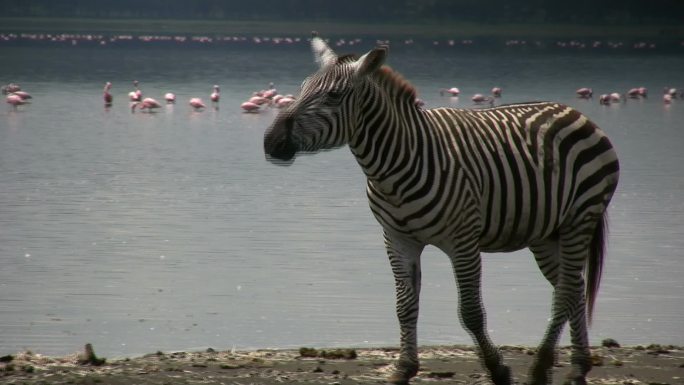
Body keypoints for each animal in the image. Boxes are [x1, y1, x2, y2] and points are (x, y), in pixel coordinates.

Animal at [262, 33, 620, 384]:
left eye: (334, 96)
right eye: (302, 88)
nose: (270, 141)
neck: (395, 164)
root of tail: (571, 110)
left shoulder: (463, 240)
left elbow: (471, 312)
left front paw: (498, 369)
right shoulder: (397, 239)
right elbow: (405, 306)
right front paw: (403, 369)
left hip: (579, 217)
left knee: (566, 290)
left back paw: (543, 366)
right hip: (546, 232)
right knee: (572, 289)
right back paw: (577, 366)